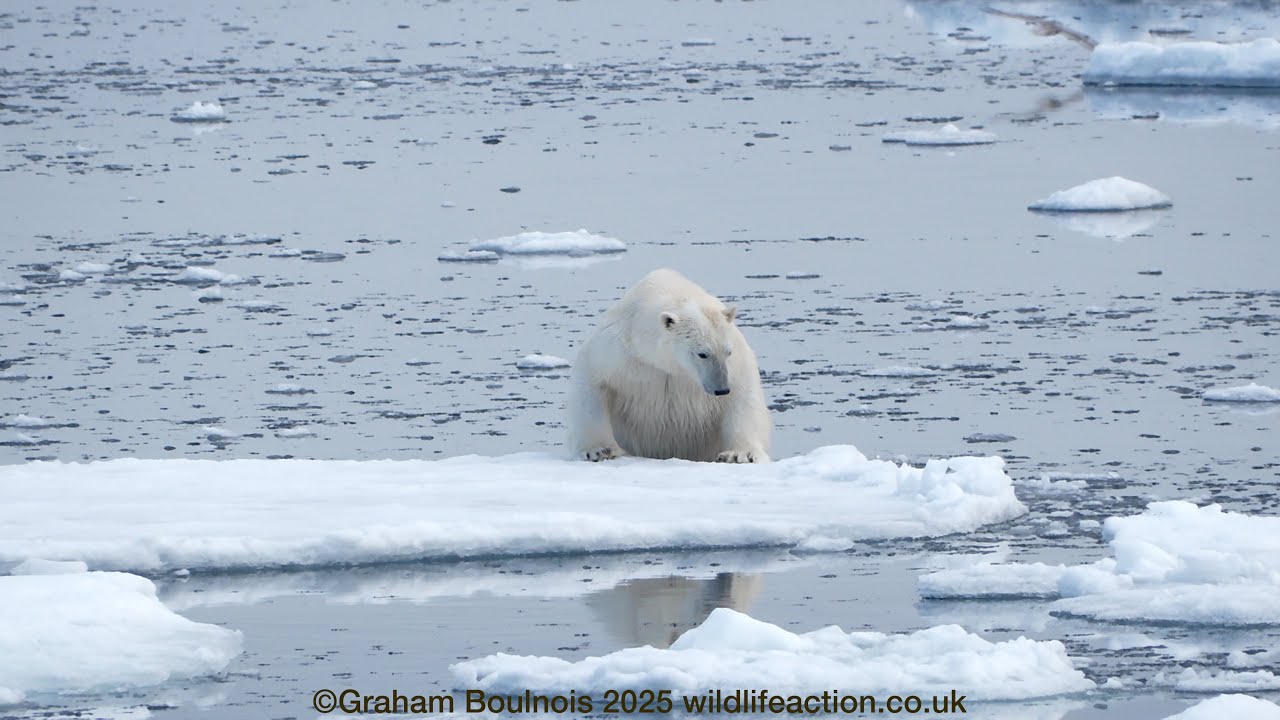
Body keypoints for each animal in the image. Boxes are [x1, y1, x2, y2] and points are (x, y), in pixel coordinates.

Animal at [567, 268, 771, 463]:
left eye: (728, 352)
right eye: (702, 353)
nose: (721, 389)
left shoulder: (736, 361)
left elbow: (743, 394)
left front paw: (738, 454)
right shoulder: (619, 354)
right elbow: (592, 384)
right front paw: (599, 451)